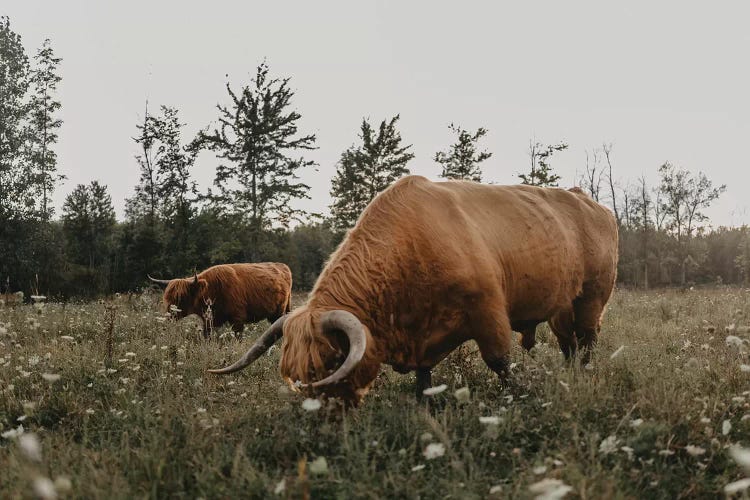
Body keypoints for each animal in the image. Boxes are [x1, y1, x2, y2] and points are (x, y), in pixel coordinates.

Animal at [150, 264, 294, 338]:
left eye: (181, 297)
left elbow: (237, 336)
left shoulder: (238, 318)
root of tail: (283, 266)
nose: (169, 316)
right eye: (167, 298)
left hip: (278, 313)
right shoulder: (208, 320)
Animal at [210, 175, 616, 402]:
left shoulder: (488, 313)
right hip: (563, 305)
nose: (324, 420)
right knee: (568, 341)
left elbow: (500, 362)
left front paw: (516, 395)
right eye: (292, 372)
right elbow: (424, 377)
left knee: (587, 339)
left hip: (592, 297)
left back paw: (583, 374)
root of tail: (588, 201)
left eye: (330, 362)